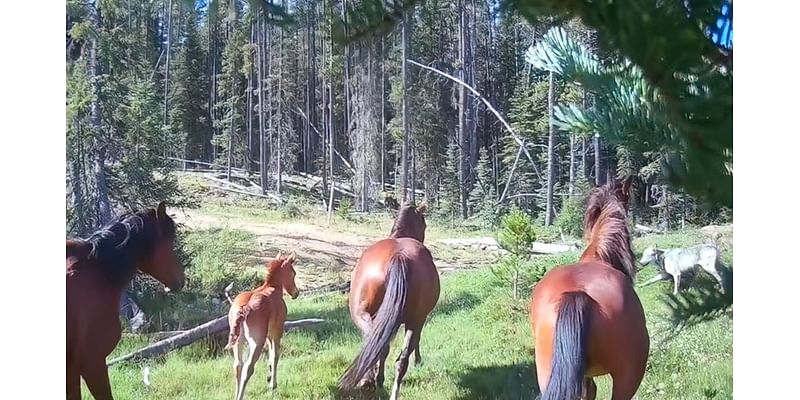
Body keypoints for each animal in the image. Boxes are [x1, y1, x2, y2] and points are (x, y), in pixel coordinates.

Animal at [336, 203, 440, 400]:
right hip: (412, 320)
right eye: (424, 224)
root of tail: (399, 256)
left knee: (379, 347)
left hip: (363, 314)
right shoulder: (418, 319)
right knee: (396, 356)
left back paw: (370, 381)